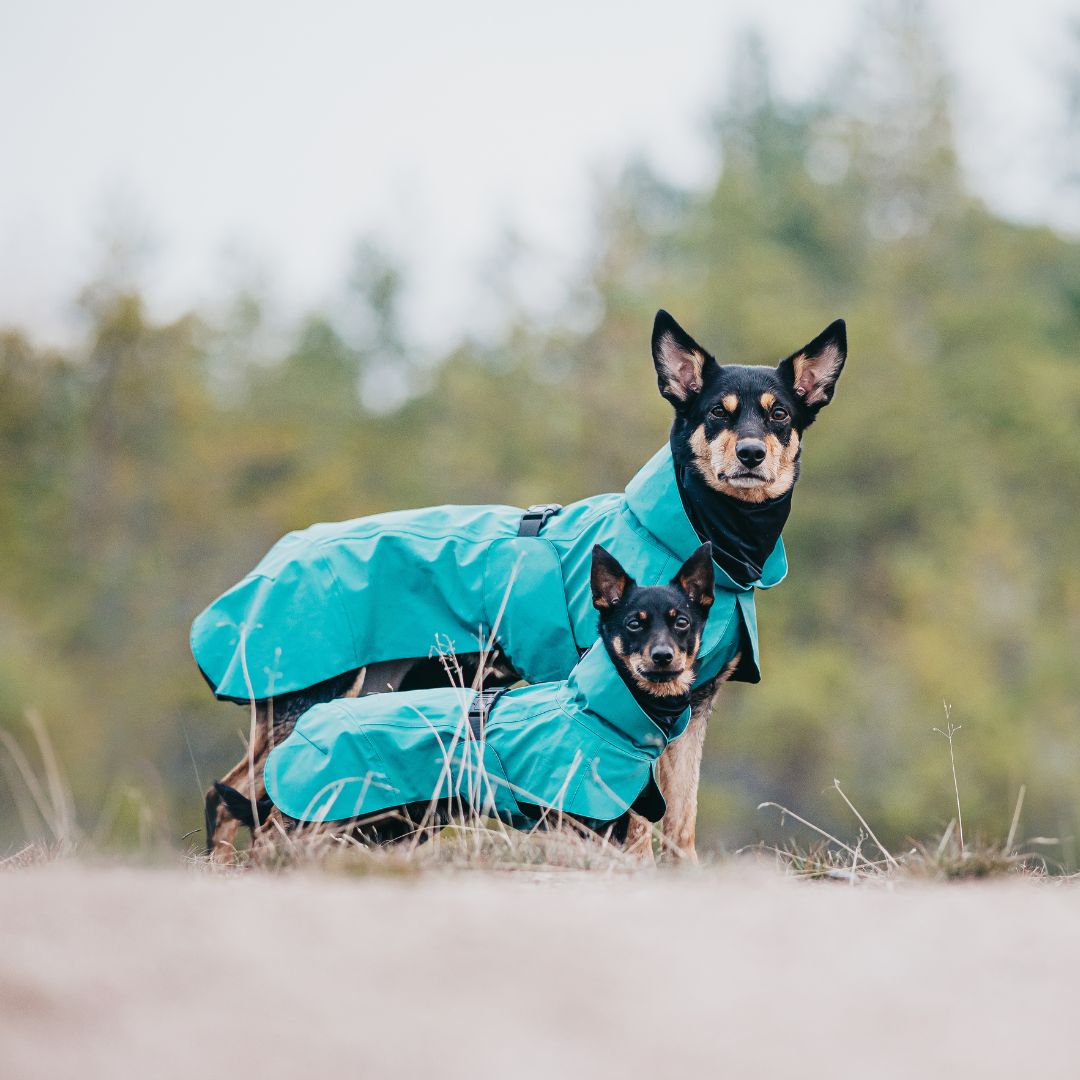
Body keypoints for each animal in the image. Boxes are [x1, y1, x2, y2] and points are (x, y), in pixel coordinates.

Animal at [203, 311, 842, 859]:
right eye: (717, 413)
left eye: (779, 415)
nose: (752, 453)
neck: (697, 533)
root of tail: (272, 559)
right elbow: (637, 824)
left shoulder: (693, 708)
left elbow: (681, 825)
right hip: (312, 705)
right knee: (243, 799)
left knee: (239, 796)